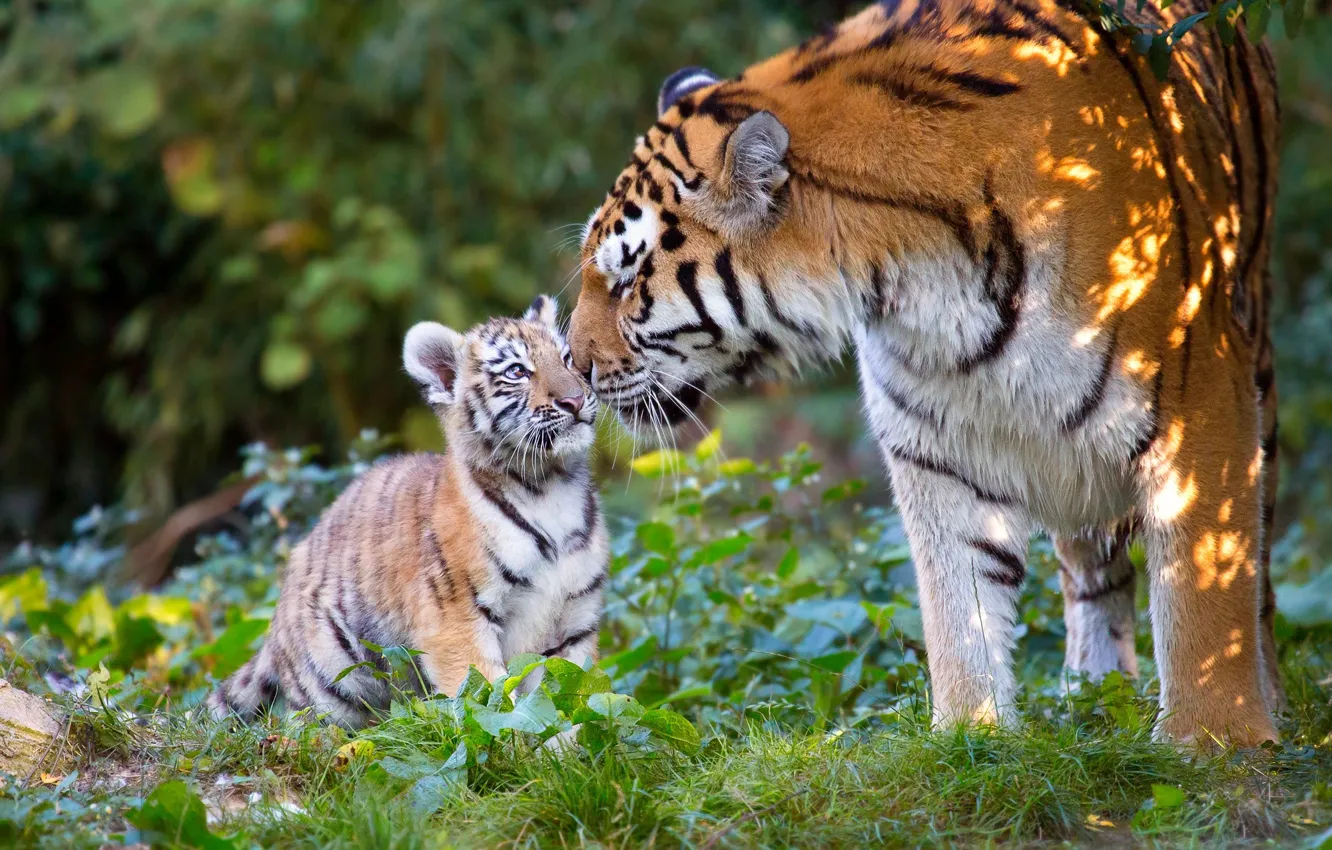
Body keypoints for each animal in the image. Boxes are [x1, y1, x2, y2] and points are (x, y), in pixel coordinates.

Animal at [208, 297, 607, 727]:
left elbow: (574, 699)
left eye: (566, 359)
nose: (575, 399)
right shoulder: (457, 620)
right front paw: (521, 738)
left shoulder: (575, 623)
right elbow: (493, 705)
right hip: (331, 681)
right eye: (516, 371)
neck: (550, 487)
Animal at [567, 0, 1281, 745]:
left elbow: (1204, 589)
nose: (572, 365)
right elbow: (957, 606)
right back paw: (1093, 694)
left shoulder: (1198, 405)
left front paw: (1215, 742)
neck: (922, 285)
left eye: (625, 282)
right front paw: (973, 735)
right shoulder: (936, 446)